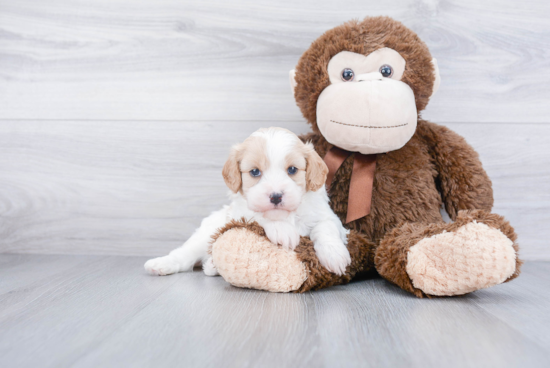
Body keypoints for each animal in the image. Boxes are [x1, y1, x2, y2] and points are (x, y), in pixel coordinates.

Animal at [146, 126, 354, 276]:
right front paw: (282, 230)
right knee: (184, 255)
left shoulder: (328, 216)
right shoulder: (240, 214)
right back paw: (160, 264)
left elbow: (325, 228)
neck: (286, 215)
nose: (276, 196)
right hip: (203, 236)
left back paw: (211, 266)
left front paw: (334, 255)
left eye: (292, 170)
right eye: (254, 172)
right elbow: (258, 216)